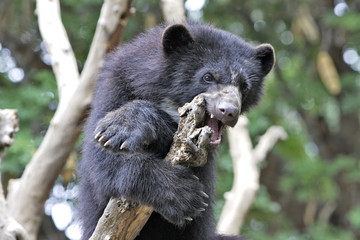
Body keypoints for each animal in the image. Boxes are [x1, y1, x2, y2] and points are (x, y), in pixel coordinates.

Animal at [79, 22, 274, 240]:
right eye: (208, 77)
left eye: (244, 86)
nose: (229, 111)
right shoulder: (114, 89)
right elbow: (102, 162)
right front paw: (183, 194)